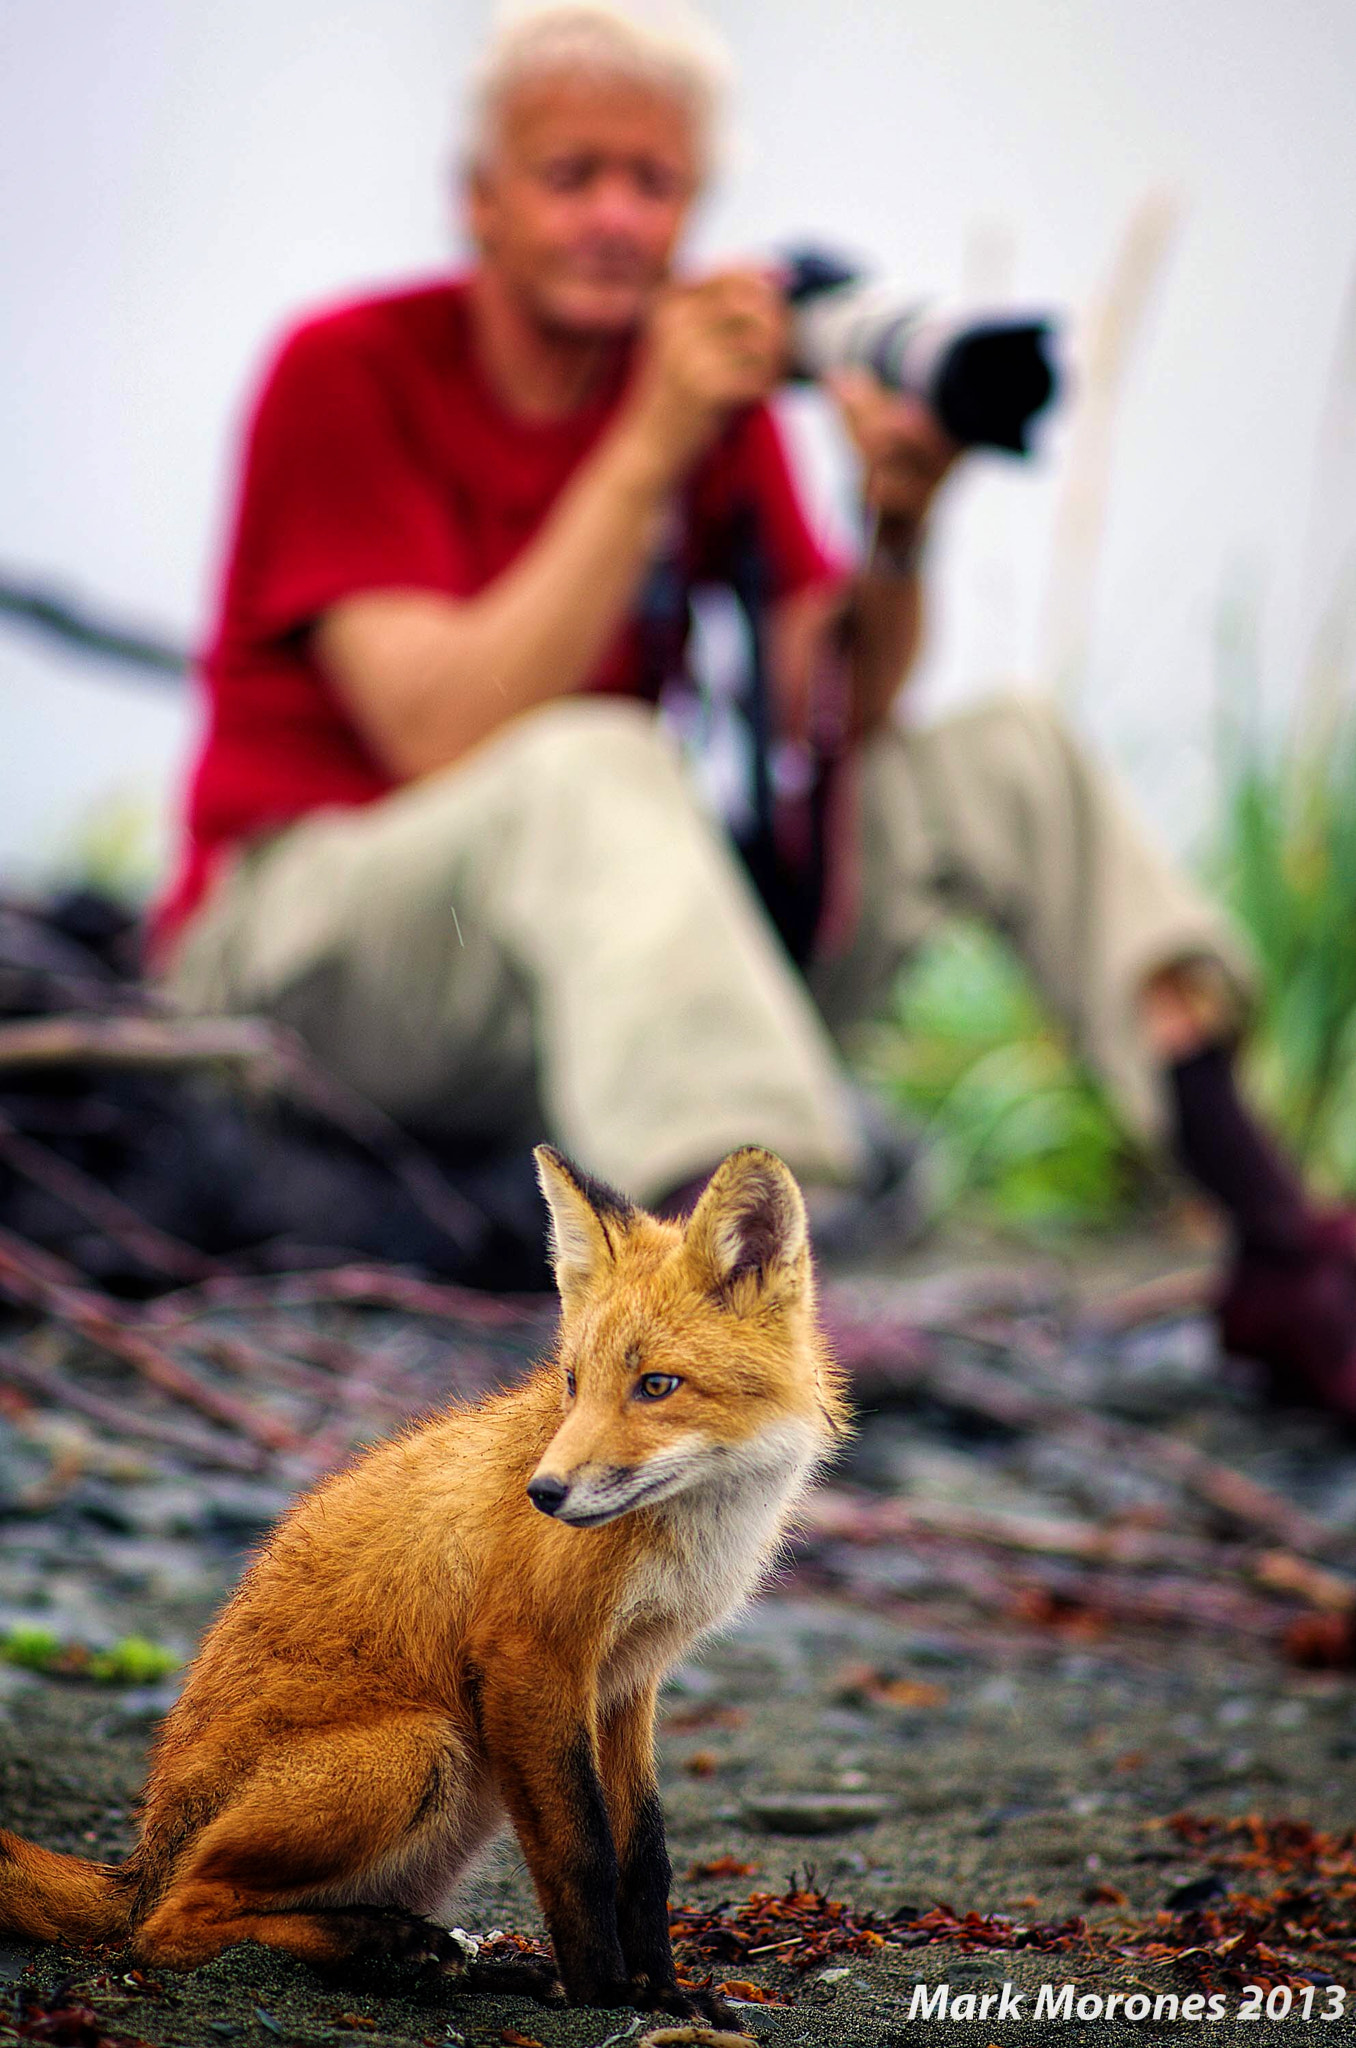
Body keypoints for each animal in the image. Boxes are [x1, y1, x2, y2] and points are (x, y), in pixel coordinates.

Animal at [0, 1146, 852, 2023]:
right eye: (572, 1382)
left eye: (657, 1385)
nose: (543, 1495)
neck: (689, 1538)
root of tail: (142, 1857)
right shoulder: (532, 1661)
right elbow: (581, 1852)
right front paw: (603, 1996)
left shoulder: (628, 1682)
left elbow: (644, 1857)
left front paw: (663, 1992)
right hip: (425, 1750)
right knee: (168, 1928)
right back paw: (382, 1947)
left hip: (466, 1800)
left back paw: (458, 1963)